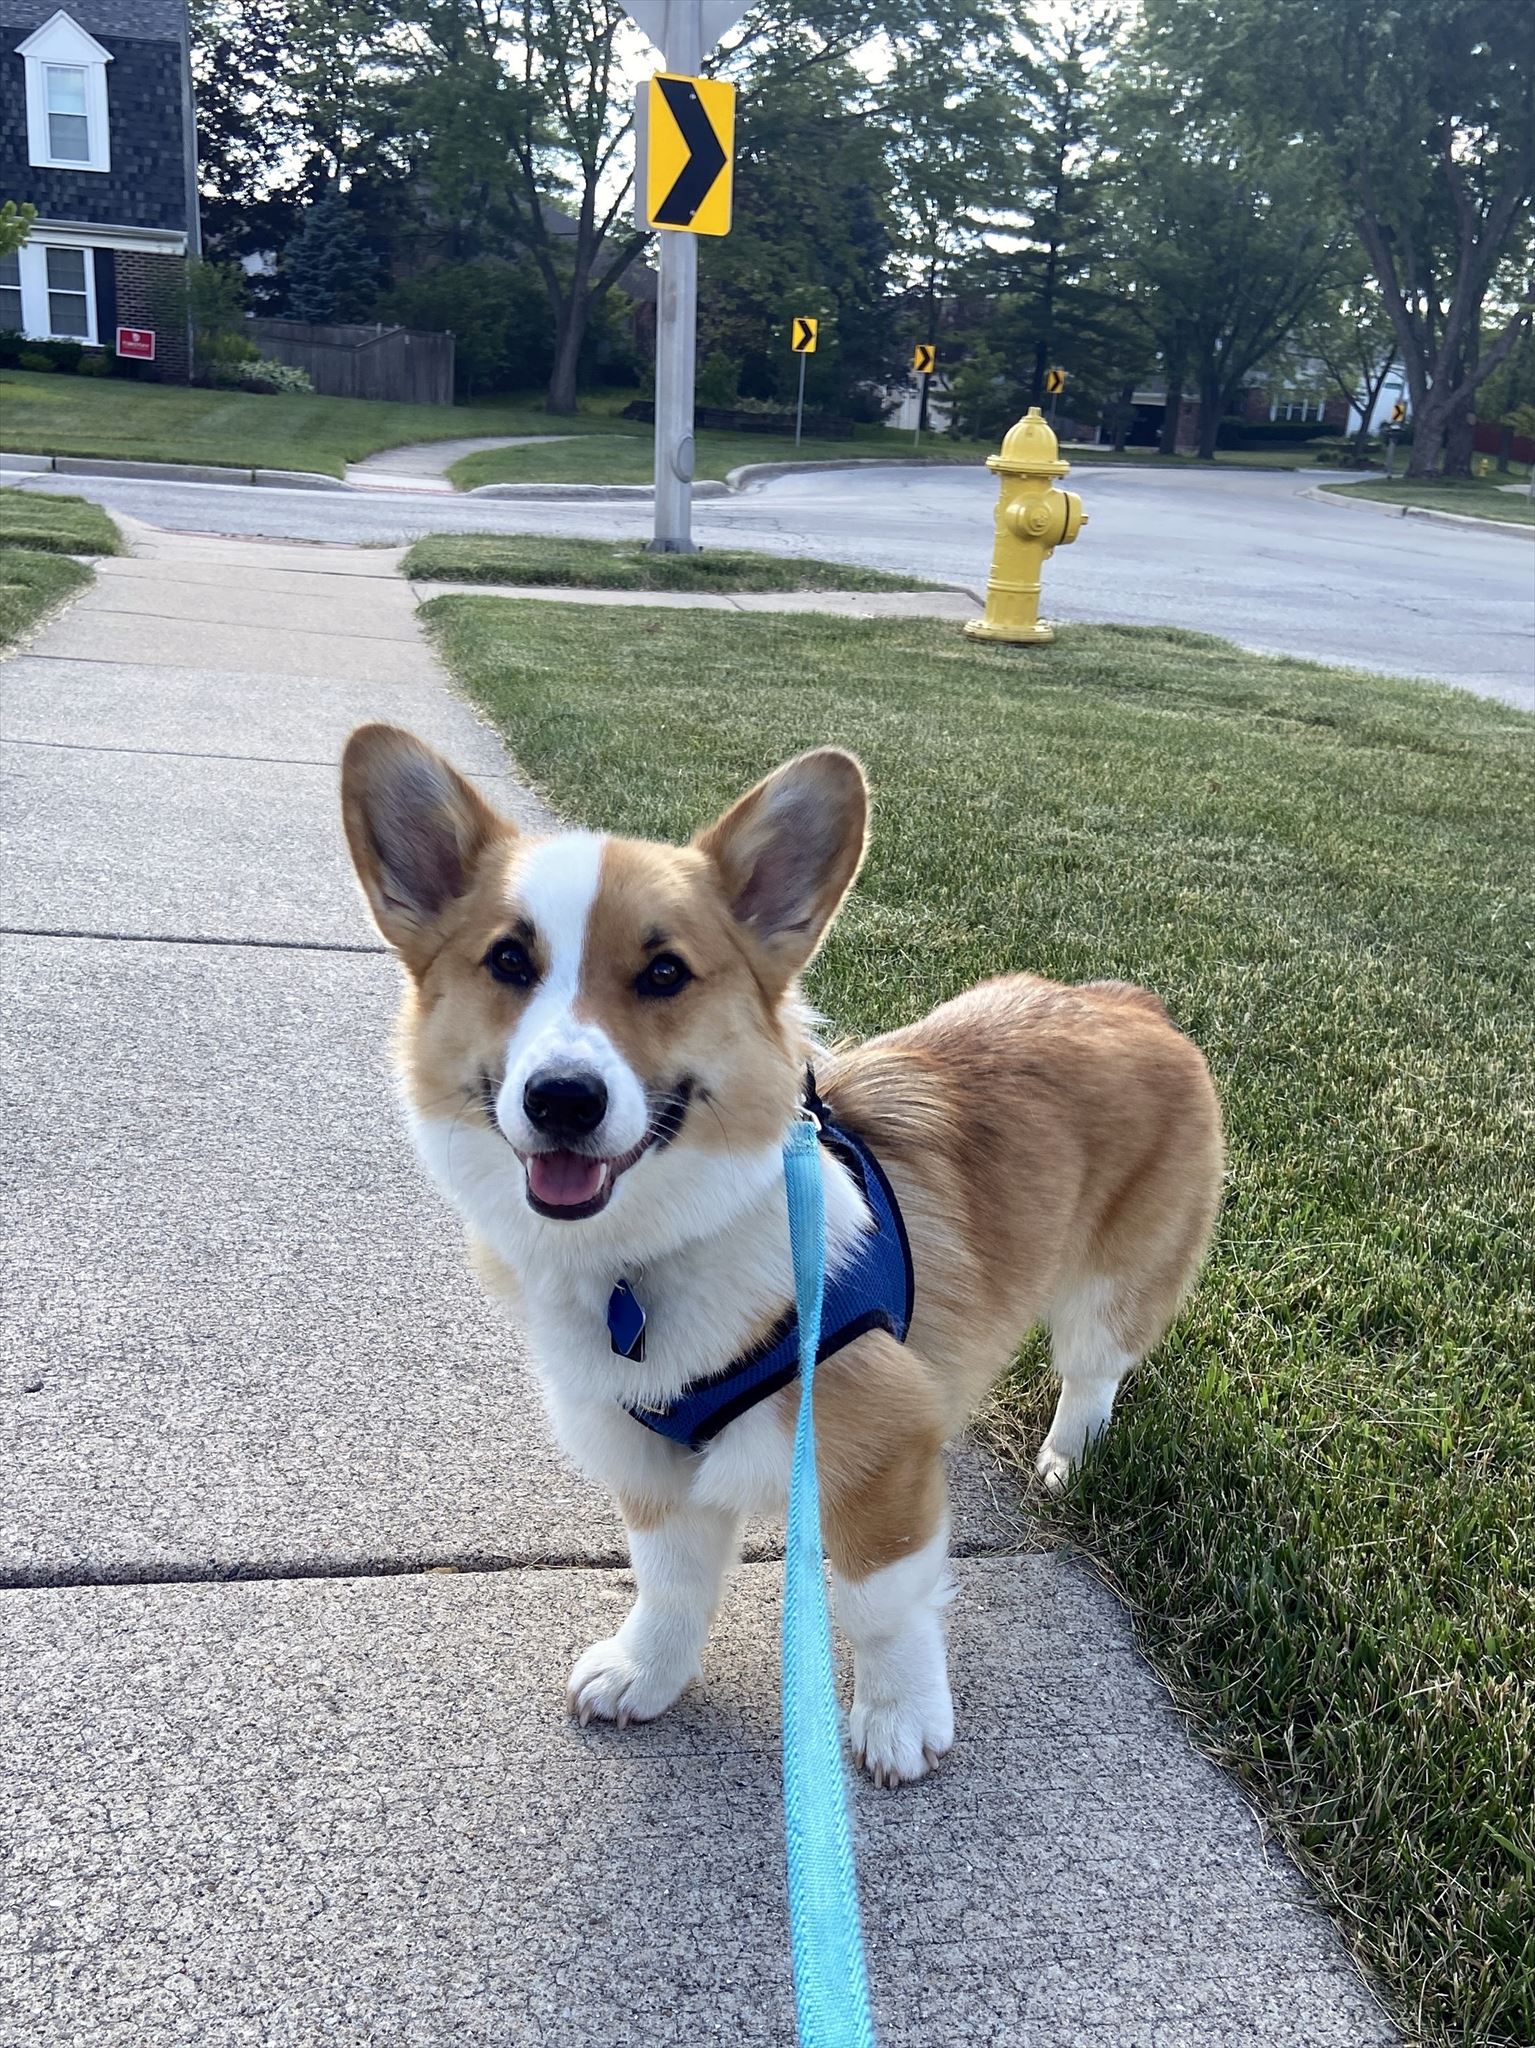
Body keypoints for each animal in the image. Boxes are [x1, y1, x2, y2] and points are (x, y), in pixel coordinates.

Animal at [340, 725, 1223, 1786]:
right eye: (508, 961)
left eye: (665, 973)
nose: (562, 1098)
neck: (647, 1256)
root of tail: (1130, 1003)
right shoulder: (649, 1464)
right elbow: (669, 1586)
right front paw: (646, 1674)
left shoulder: (878, 1457)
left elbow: (879, 1606)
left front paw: (898, 1719)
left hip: (1114, 1287)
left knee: (1093, 1373)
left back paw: (1063, 1461)